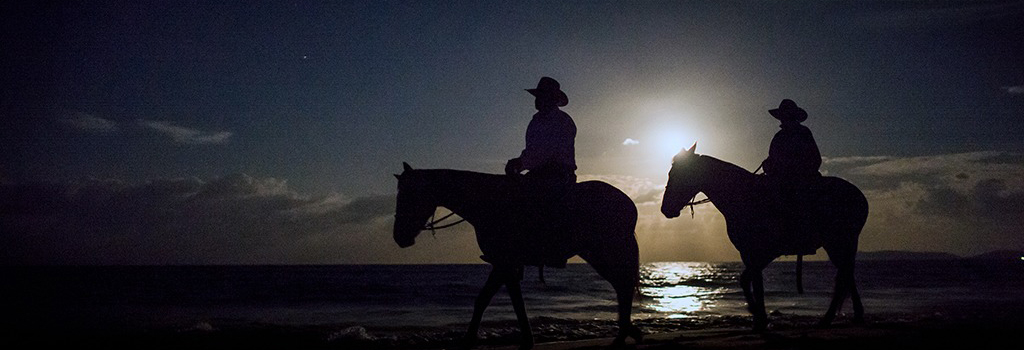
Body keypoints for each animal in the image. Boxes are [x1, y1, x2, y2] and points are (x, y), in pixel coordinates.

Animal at [391, 162, 638, 347]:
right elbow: (500, 300)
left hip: (605, 253)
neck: (488, 203)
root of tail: (629, 204)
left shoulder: (504, 263)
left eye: (409, 196)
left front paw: (473, 340)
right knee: (622, 286)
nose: (399, 237)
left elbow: (495, 301)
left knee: (624, 286)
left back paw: (622, 335)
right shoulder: (504, 265)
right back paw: (626, 332)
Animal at [659, 145, 868, 331]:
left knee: (844, 277)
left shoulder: (762, 251)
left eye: (678, 174)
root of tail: (860, 196)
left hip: (839, 243)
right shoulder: (752, 253)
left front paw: (759, 317)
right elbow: (748, 281)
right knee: (847, 275)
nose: (665, 209)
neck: (742, 197)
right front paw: (758, 316)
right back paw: (854, 315)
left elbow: (753, 282)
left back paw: (829, 319)